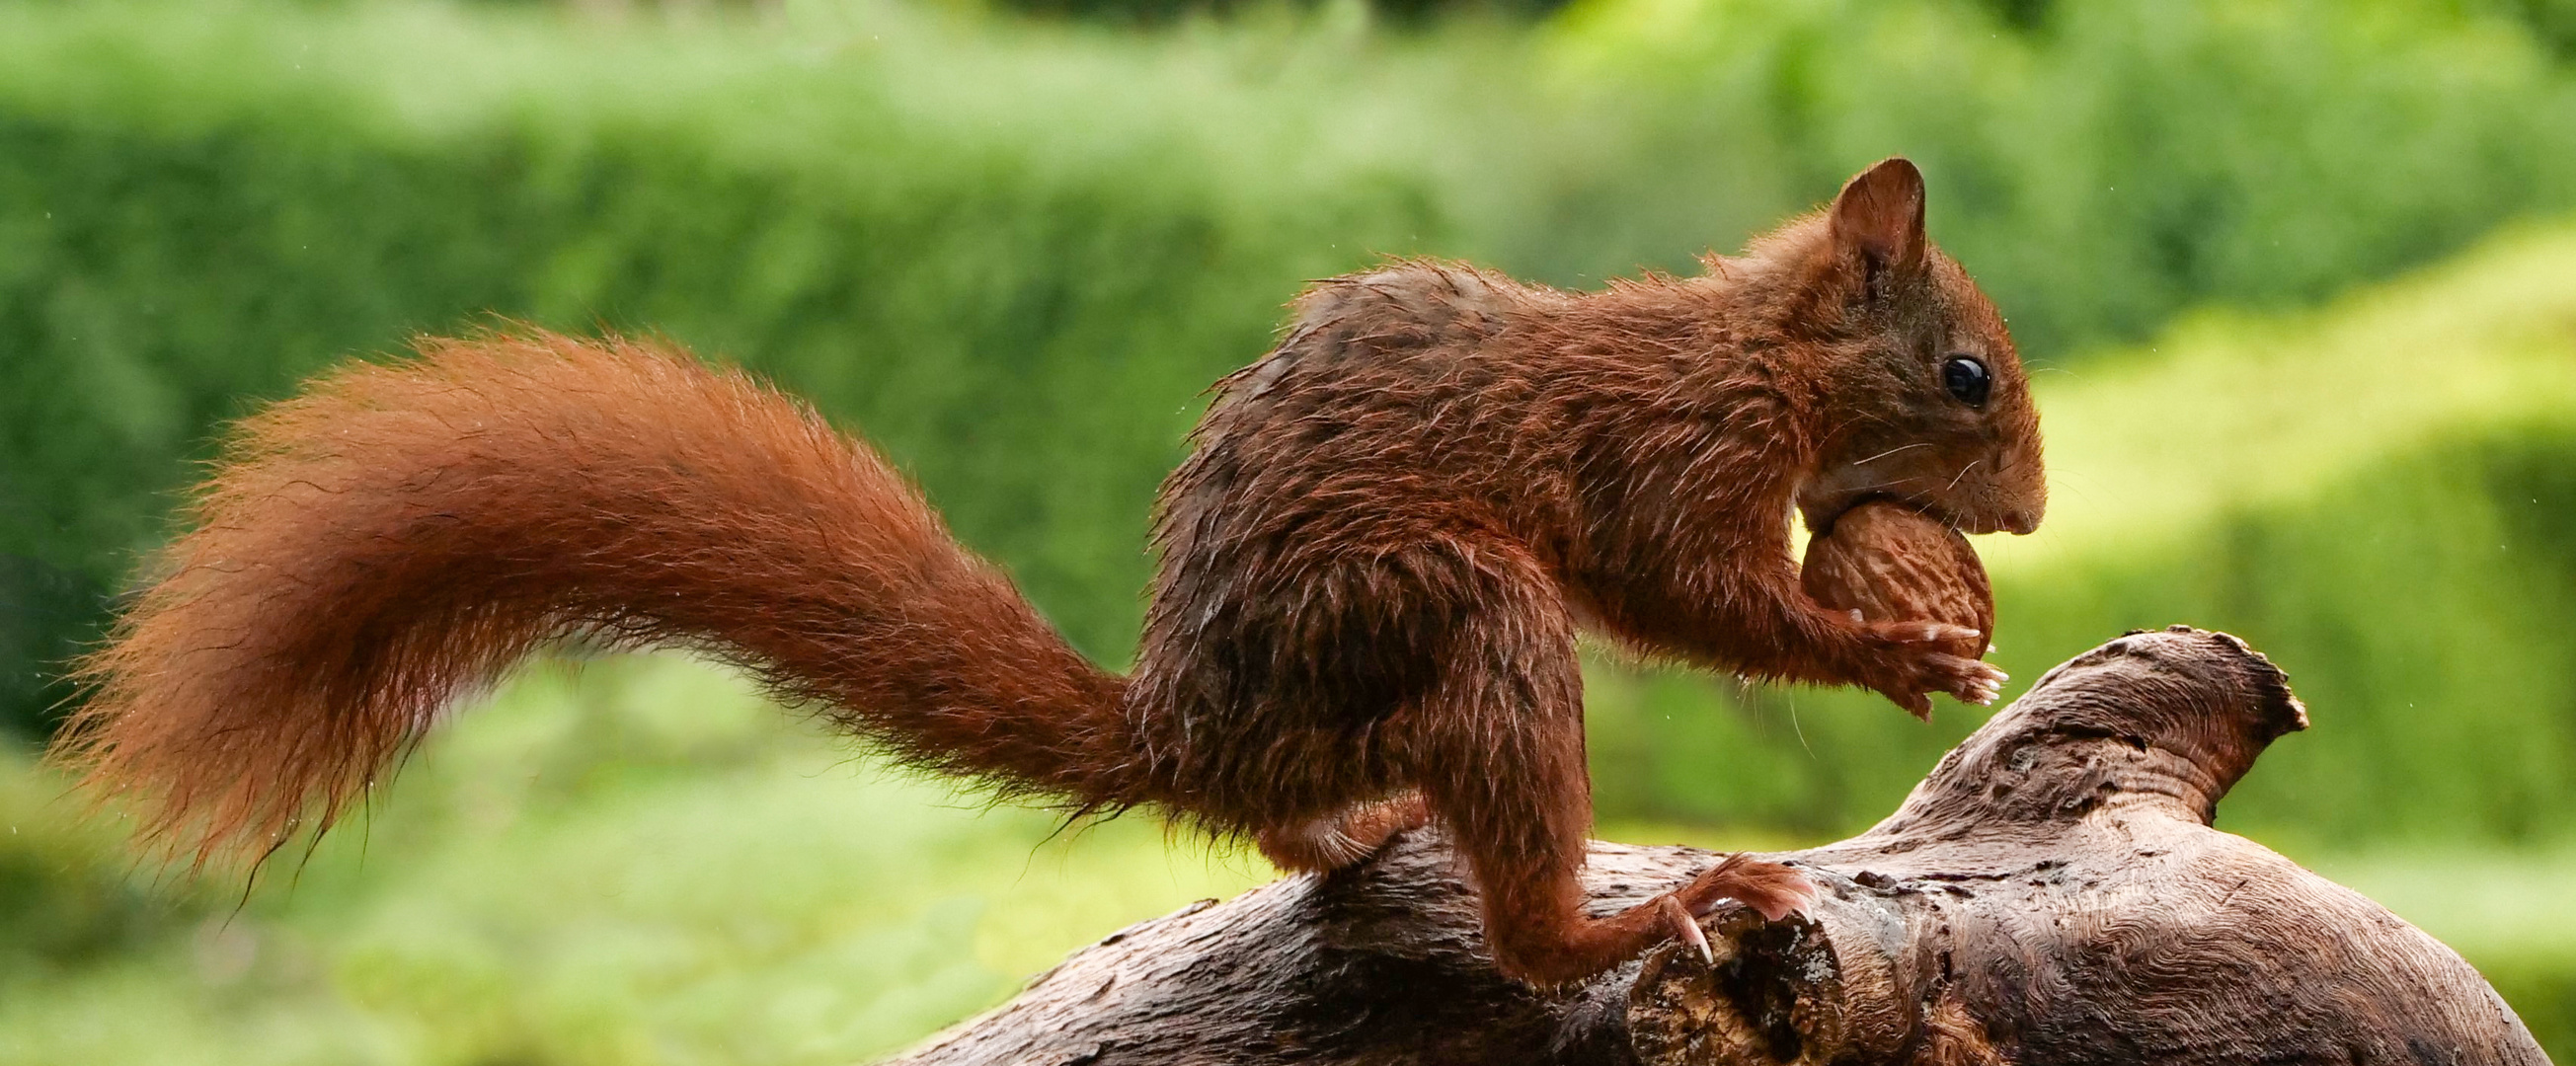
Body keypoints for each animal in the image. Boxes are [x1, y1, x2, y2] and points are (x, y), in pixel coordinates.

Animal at [49, 158, 2040, 988]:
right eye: (1965, 375)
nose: (2024, 511)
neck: (1748, 360)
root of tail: (1184, 727)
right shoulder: (1658, 465)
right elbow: (1685, 600)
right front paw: (1888, 652)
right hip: (1436, 608)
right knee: (1522, 909)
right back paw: (1621, 919)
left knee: (1297, 830)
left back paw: (1364, 830)